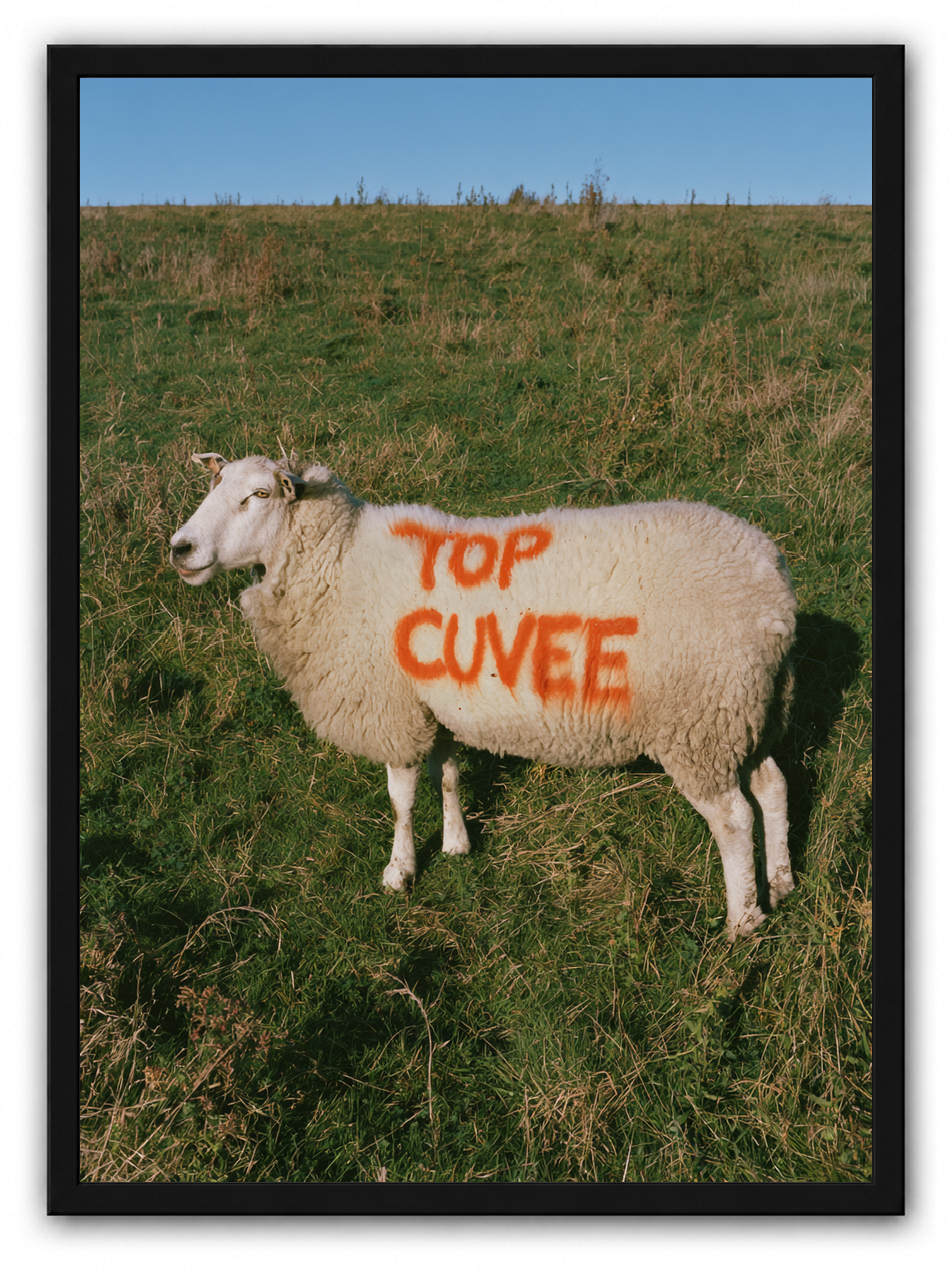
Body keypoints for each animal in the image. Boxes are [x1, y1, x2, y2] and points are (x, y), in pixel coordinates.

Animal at [170, 451, 797, 939]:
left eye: (257, 495)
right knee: (772, 786)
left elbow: (400, 798)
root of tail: (774, 590)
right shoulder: (439, 703)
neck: (338, 562)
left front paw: (399, 871)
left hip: (700, 718)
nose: (179, 548)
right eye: (212, 487)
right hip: (752, 710)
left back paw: (743, 922)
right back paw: (782, 881)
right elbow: (447, 775)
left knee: (733, 818)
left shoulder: (393, 706)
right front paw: (456, 844)